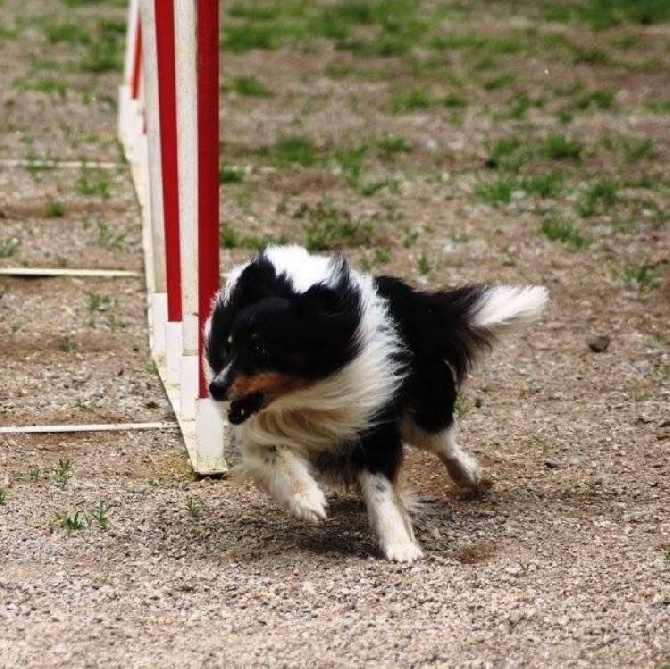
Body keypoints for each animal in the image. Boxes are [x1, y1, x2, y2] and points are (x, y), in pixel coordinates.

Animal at [202, 244, 548, 560]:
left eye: (261, 350)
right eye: (228, 346)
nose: (215, 387)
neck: (304, 395)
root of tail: (413, 304)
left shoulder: (372, 425)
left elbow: (381, 491)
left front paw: (401, 546)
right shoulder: (261, 433)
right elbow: (279, 459)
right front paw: (309, 502)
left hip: (423, 413)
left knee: (445, 445)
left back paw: (469, 475)